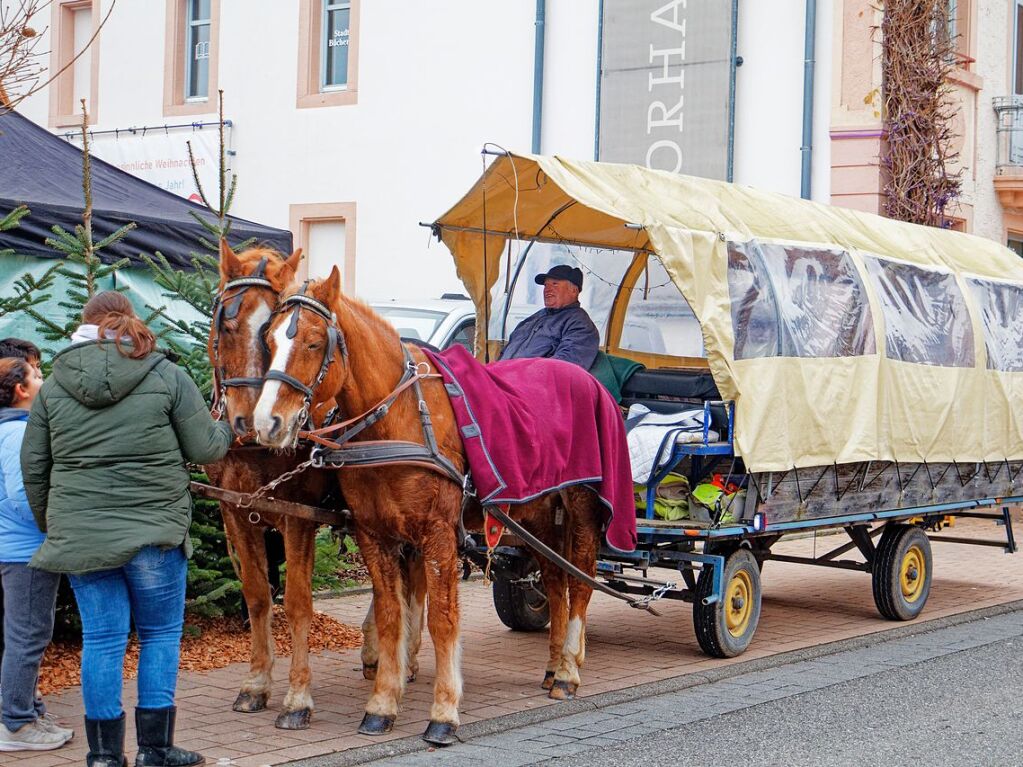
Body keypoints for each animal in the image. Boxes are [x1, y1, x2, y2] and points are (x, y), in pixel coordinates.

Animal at [209, 243, 425, 728]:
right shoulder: (235, 514)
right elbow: (257, 597)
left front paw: (297, 698)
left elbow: (297, 603)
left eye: (266, 329)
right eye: (226, 323)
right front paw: (255, 685)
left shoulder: (298, 520)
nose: (252, 422)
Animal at [252, 267, 605, 748]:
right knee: (553, 580)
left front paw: (443, 711)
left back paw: (568, 671)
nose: (267, 423)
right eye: (268, 339)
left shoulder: (437, 534)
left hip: (581, 508)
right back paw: (553, 667)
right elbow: (391, 616)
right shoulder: (375, 533)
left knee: (581, 583)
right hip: (535, 516)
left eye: (312, 342)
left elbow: (441, 619)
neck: (396, 417)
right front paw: (382, 704)